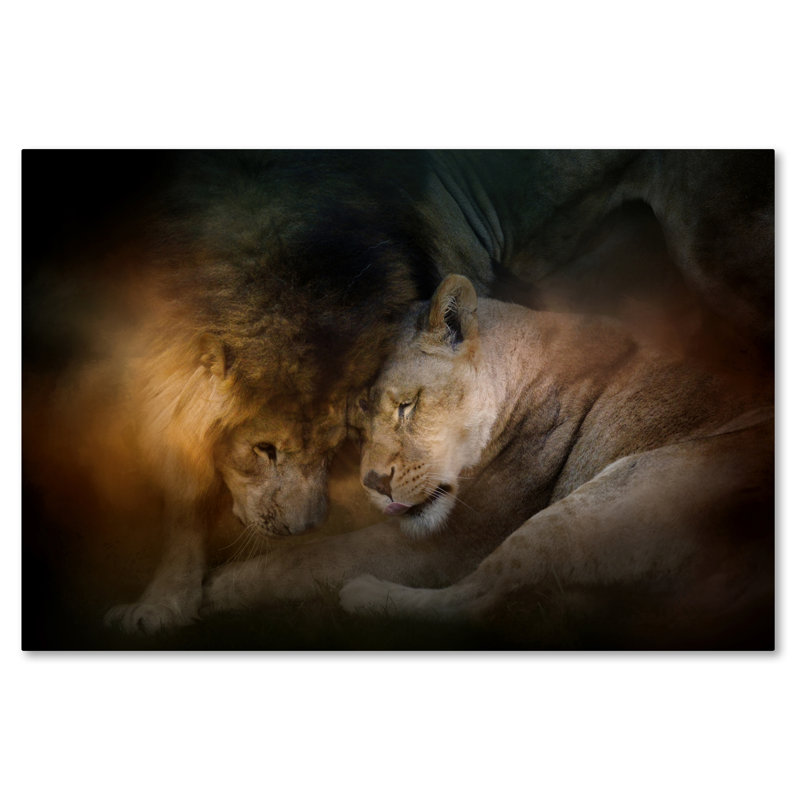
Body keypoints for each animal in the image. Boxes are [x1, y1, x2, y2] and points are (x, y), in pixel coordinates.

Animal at [202, 275, 773, 648]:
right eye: (357, 431)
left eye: (406, 405)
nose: (375, 483)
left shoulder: (452, 543)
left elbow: (310, 559)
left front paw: (217, 587)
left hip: (632, 483)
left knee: (486, 601)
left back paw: (361, 597)